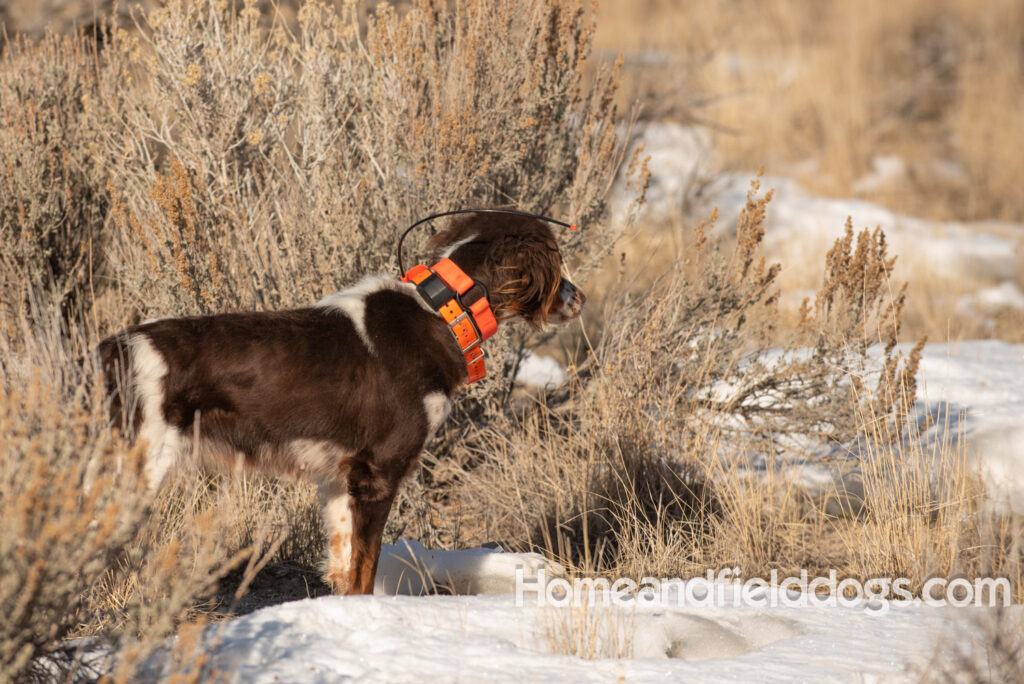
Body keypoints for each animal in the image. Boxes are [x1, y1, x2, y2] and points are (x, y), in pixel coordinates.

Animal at [103, 211, 589, 593]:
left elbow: (346, 568)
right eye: (558, 260)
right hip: (135, 470)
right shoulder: (378, 473)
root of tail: (108, 351)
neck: (443, 313)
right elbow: (366, 567)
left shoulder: (341, 480)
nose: (580, 298)